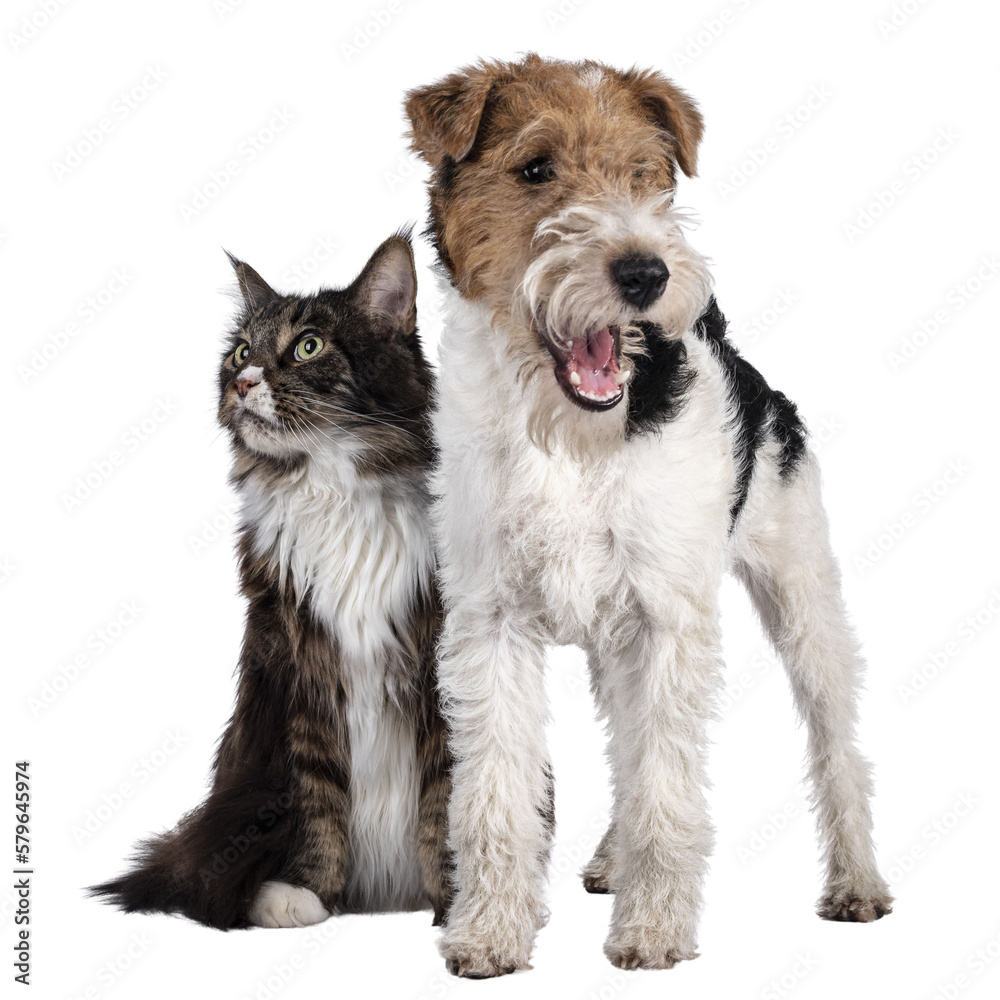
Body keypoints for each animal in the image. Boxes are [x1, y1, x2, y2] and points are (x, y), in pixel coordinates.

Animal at [89, 234, 450, 928]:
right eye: (239, 351)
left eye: (307, 346)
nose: (242, 380)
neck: (334, 490)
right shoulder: (299, 668)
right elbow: (317, 803)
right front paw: (306, 893)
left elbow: (449, 796)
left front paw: (465, 902)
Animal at [404, 54, 892, 976]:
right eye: (535, 169)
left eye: (645, 175)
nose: (645, 274)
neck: (571, 439)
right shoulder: (491, 623)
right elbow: (495, 795)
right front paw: (489, 934)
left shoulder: (667, 621)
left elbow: (667, 789)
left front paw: (654, 933)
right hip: (613, 642)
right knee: (625, 752)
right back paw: (607, 860)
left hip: (802, 598)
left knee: (835, 748)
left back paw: (858, 883)